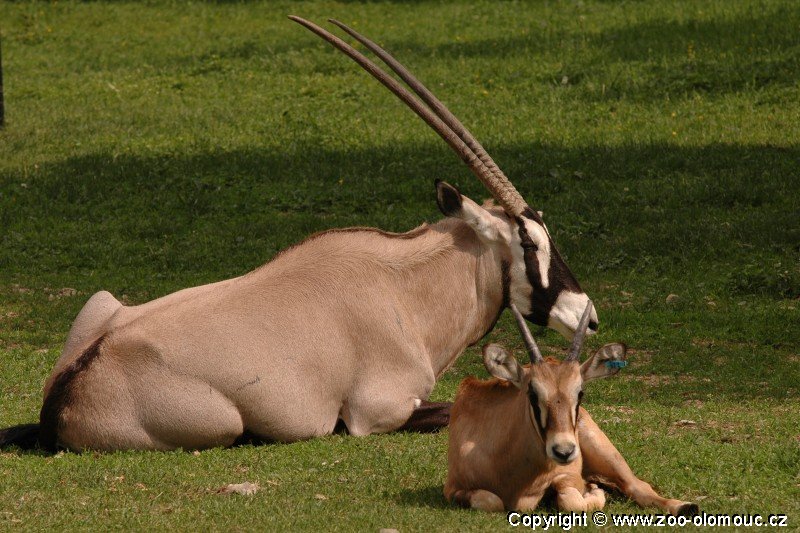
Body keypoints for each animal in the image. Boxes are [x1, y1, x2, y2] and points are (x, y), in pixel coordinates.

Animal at [446, 302, 696, 512]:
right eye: (532, 393)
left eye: (580, 392)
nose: (564, 451)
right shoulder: (452, 489)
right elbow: (491, 500)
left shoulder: (566, 476)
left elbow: (573, 502)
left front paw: (593, 492)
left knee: (638, 486)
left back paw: (684, 506)